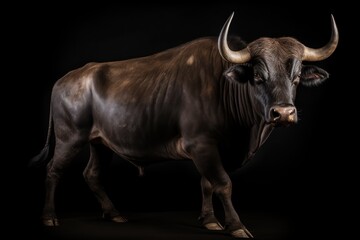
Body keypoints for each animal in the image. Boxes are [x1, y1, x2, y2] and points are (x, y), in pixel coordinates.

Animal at [30, 13, 338, 238]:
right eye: (258, 77)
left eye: (296, 77)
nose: (283, 113)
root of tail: (67, 78)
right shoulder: (201, 144)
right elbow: (223, 183)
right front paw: (236, 225)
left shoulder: (212, 150)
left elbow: (207, 183)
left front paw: (209, 220)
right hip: (70, 137)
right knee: (54, 170)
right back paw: (49, 218)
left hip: (100, 143)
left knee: (92, 174)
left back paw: (114, 213)